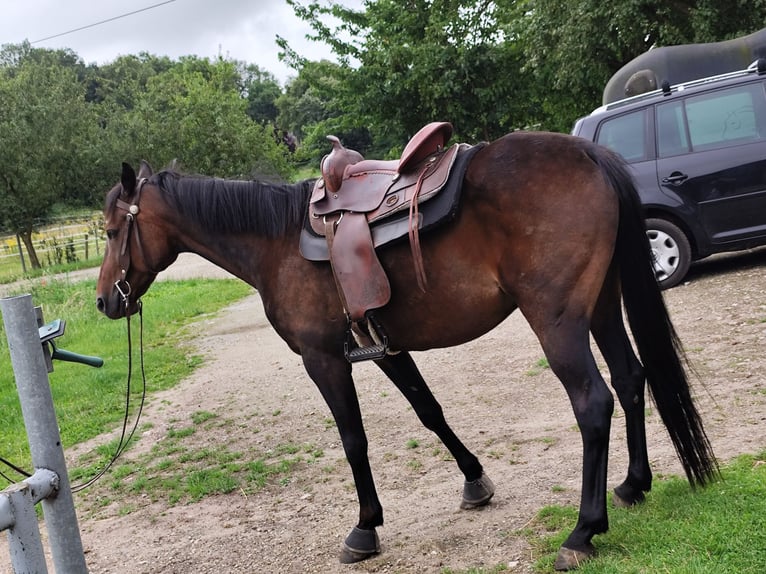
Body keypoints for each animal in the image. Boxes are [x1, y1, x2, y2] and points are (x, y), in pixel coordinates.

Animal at [96, 132, 720, 572]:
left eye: (110, 232)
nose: (105, 300)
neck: (277, 242)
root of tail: (589, 153)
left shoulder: (323, 360)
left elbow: (353, 439)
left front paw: (365, 528)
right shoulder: (384, 346)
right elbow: (429, 411)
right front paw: (475, 482)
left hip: (558, 319)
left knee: (593, 402)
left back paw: (583, 531)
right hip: (604, 305)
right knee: (631, 378)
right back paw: (633, 485)